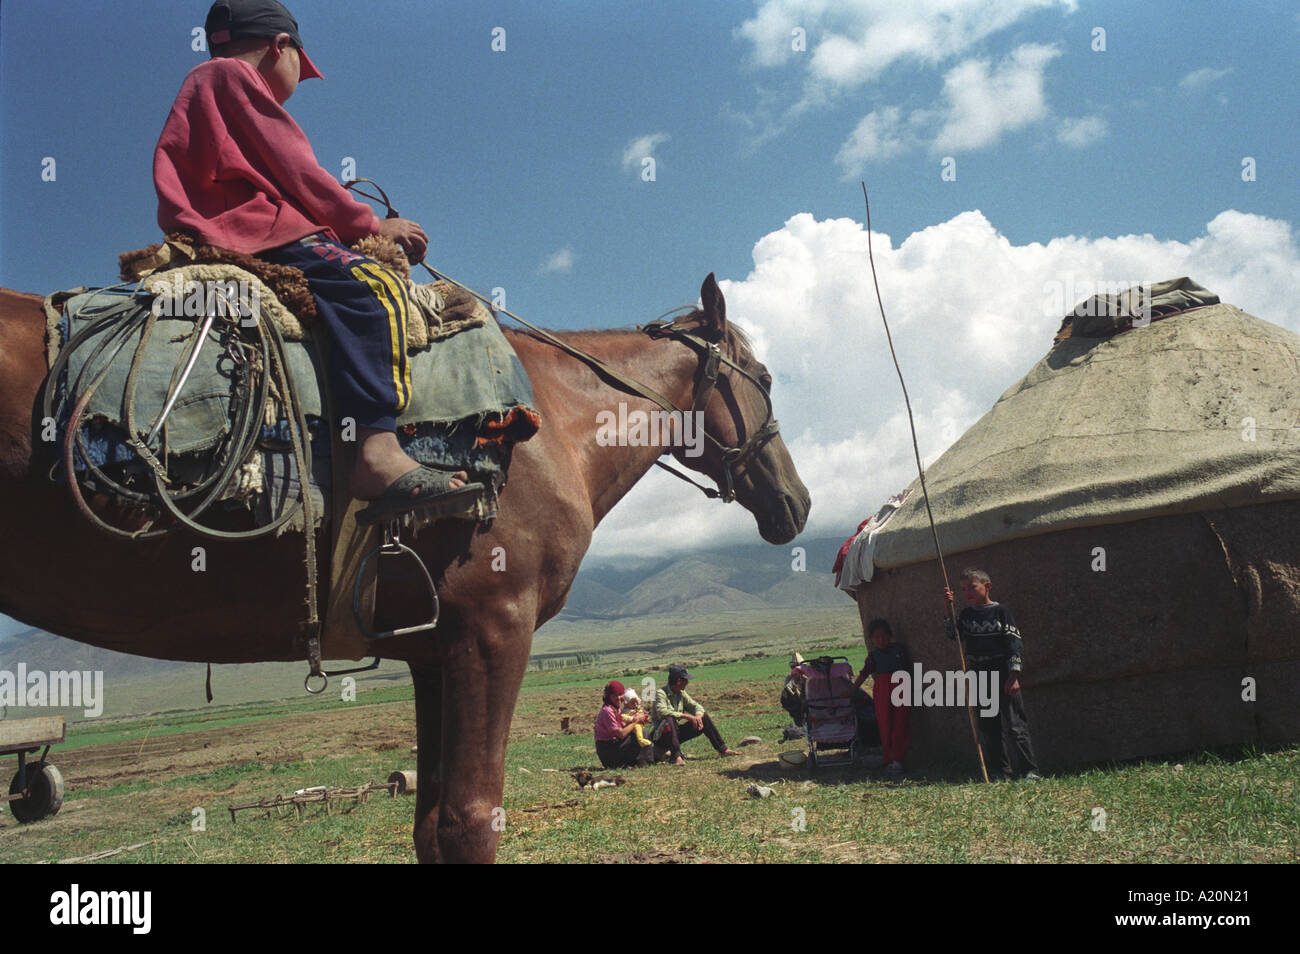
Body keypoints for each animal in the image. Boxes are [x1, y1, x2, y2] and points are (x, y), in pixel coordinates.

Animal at [0, 272, 811, 863]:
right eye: (766, 377)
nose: (798, 503)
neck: (556, 425)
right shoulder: (493, 630)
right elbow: (471, 822)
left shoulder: (432, 652)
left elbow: (431, 826)